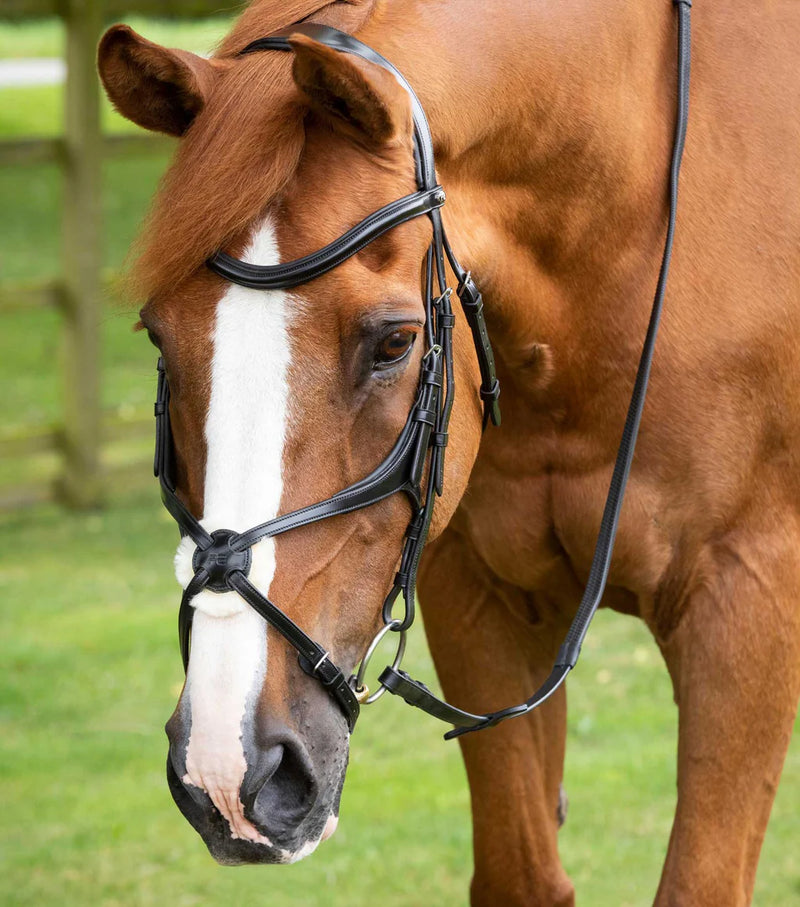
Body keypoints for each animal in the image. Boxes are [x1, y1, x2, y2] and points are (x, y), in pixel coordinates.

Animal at [98, 0, 800, 904]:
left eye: (395, 341)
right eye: (159, 336)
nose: (229, 766)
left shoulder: (748, 603)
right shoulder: (480, 595)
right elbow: (520, 870)